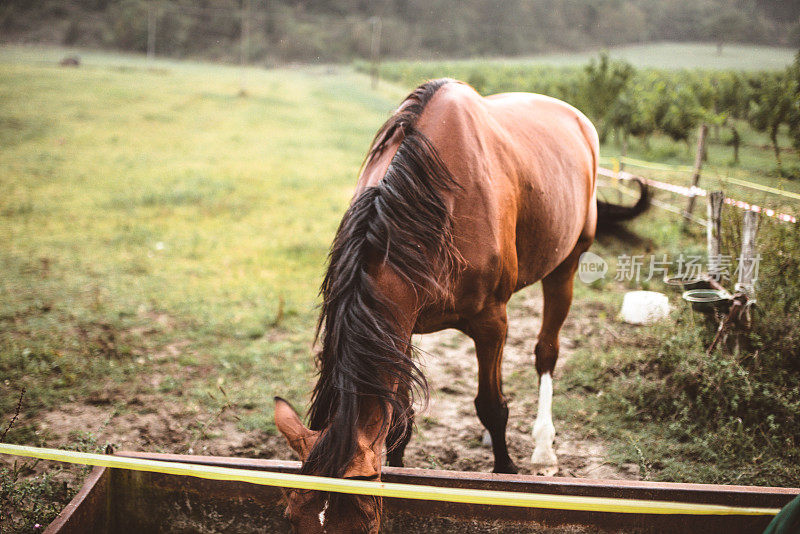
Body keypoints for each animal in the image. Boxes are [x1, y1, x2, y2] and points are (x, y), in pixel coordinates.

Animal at [272, 79, 648, 534]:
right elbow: (400, 418)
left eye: (363, 525)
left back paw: (543, 448)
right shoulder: (401, 327)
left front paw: (506, 471)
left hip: (566, 265)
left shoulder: (491, 322)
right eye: (291, 518)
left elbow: (491, 407)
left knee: (546, 353)